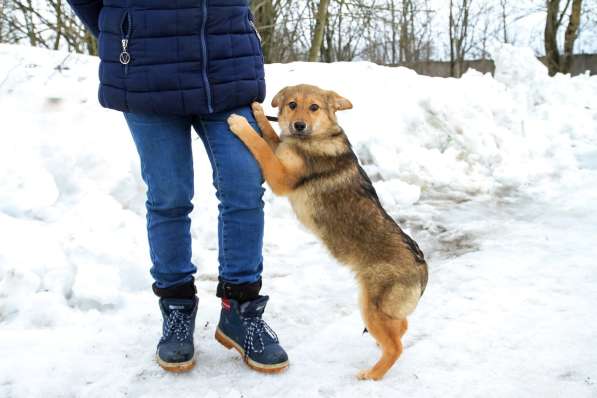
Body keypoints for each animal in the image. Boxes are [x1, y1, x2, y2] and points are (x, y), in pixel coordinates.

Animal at [226, 84, 426, 382]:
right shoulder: (282, 152)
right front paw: (259, 113)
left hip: (371, 308)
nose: (298, 126)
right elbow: (270, 134)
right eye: (292, 104)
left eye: (314, 107)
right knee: (401, 328)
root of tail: (422, 267)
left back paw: (371, 375)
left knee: (396, 346)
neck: (316, 136)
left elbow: (260, 145)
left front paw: (240, 124)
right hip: (383, 311)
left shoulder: (281, 176)